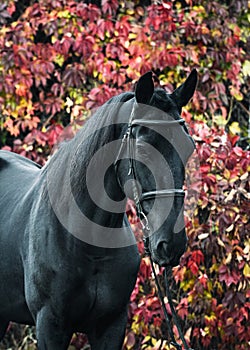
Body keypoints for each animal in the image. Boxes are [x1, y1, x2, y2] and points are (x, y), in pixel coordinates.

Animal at [0, 69, 197, 348]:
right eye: (142, 148)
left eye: (188, 147)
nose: (172, 243)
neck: (86, 240)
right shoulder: (50, 324)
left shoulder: (110, 326)